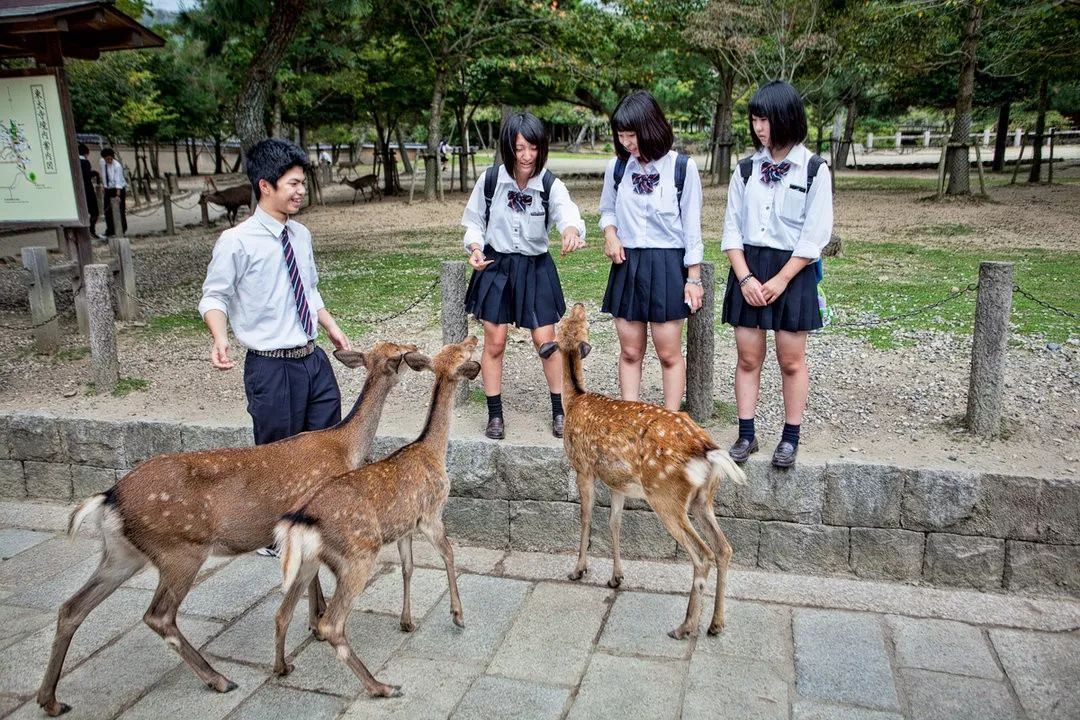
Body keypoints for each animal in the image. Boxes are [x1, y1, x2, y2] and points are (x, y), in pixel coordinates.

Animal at [34, 343, 421, 716]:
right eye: (400, 354)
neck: (344, 447)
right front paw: (317, 621)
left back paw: (50, 700)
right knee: (158, 615)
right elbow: (311, 579)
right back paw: (218, 679)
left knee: (71, 608)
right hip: (180, 550)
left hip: (122, 553)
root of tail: (108, 496)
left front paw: (315, 621)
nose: (416, 349)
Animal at [270, 336, 477, 699]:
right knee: (331, 623)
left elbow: (408, 567)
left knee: (282, 614)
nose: (475, 337)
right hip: (357, 557)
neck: (433, 451)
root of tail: (300, 521)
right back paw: (380, 686)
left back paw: (282, 667)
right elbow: (450, 555)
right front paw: (458, 615)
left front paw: (407, 621)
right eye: (462, 352)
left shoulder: (405, 526)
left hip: (307, 562)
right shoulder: (430, 513)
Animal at [537, 302, 747, 639]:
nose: (579, 304)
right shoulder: (618, 483)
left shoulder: (583, 467)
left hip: (666, 496)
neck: (576, 399)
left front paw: (578, 569)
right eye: (572, 320)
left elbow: (586, 517)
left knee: (703, 555)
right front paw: (616, 577)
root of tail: (706, 450)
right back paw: (715, 624)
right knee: (724, 548)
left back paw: (685, 626)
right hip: (703, 498)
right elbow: (614, 522)